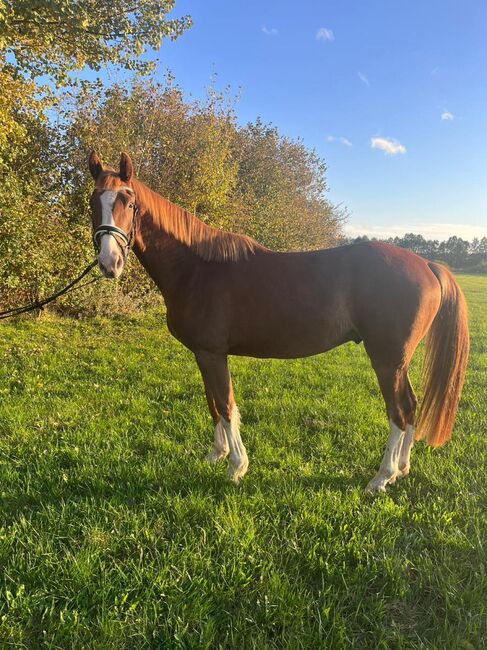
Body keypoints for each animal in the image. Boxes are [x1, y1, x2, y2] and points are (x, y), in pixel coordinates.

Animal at [86, 152, 468, 492]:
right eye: (93, 202)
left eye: (128, 203)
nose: (109, 262)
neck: (195, 267)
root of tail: (427, 264)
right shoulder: (203, 354)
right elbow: (213, 404)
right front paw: (216, 455)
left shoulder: (212, 353)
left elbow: (226, 405)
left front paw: (236, 467)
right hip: (397, 363)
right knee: (411, 407)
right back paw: (401, 469)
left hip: (387, 360)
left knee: (399, 411)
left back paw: (381, 478)